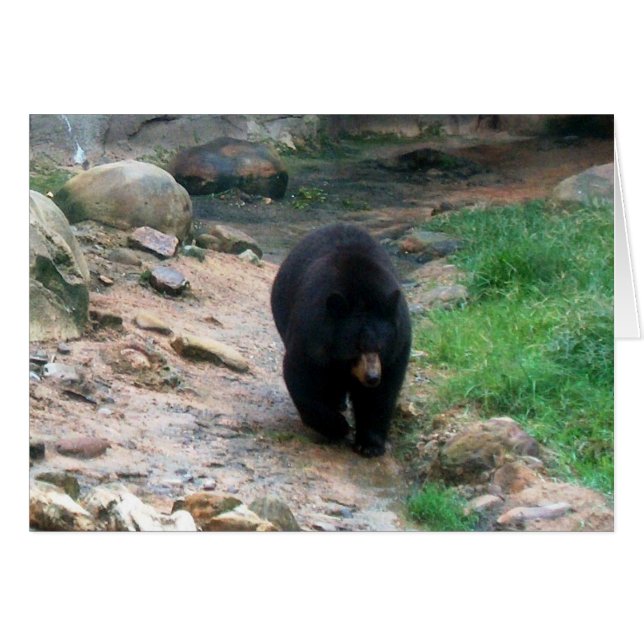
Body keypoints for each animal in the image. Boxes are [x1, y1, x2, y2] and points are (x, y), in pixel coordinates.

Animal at [271, 223, 411, 457]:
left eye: (380, 347)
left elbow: (382, 393)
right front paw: (338, 426)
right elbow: (302, 376)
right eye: (355, 348)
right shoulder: (311, 334)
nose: (372, 377)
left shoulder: (398, 346)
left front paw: (369, 444)